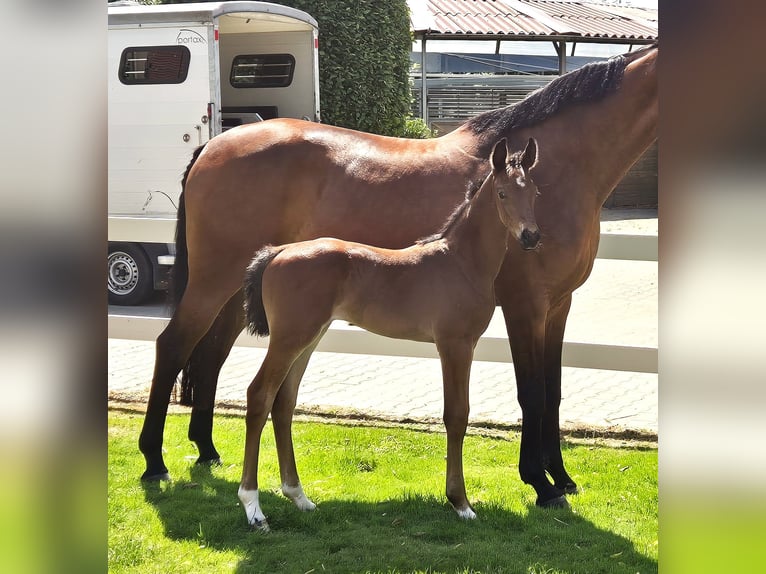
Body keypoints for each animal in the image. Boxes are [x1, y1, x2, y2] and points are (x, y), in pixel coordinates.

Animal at [238, 136, 540, 532]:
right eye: (503, 193)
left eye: (534, 191)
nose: (531, 236)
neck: (461, 262)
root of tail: (279, 251)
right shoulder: (455, 345)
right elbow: (457, 415)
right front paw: (460, 503)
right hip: (289, 338)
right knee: (260, 395)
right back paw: (253, 507)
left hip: (308, 337)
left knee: (284, 401)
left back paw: (300, 497)